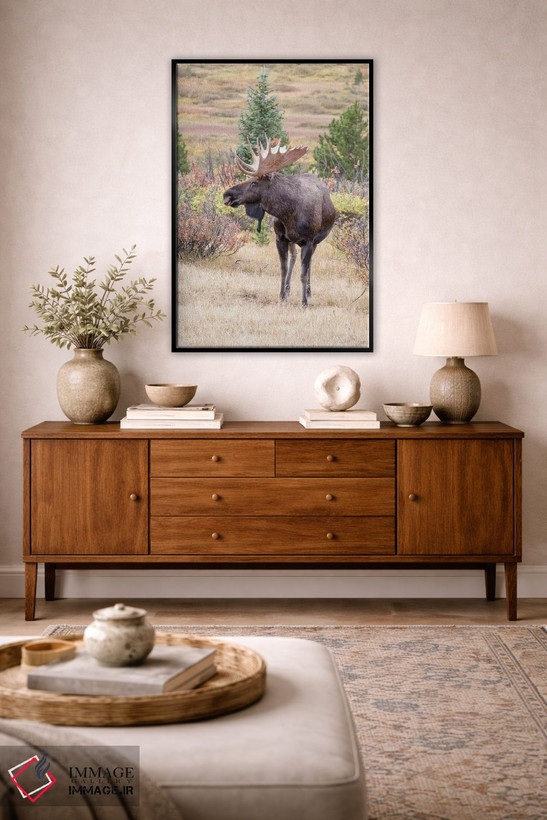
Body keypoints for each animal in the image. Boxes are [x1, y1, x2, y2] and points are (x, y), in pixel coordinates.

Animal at [223, 139, 336, 308]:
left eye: (254, 182)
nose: (227, 194)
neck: (288, 213)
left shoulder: (309, 240)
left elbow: (303, 273)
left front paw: (304, 302)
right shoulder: (280, 238)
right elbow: (283, 269)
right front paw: (282, 296)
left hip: (316, 240)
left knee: (309, 263)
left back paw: (308, 292)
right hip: (293, 240)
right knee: (294, 257)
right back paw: (289, 289)